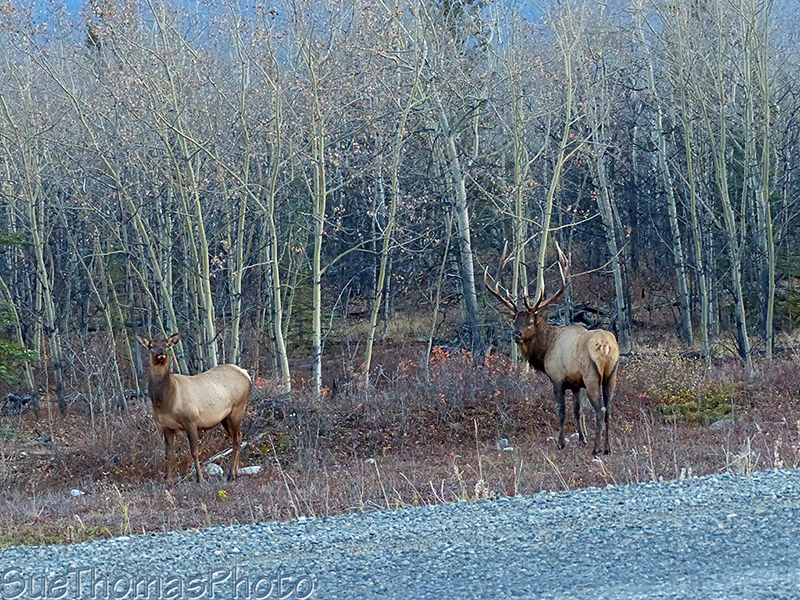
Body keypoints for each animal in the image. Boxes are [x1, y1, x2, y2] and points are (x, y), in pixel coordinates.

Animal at [136, 333, 252, 483]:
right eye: (151, 345)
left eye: (167, 345)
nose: (161, 352)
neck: (166, 401)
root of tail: (246, 374)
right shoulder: (166, 426)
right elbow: (169, 454)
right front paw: (168, 482)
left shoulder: (190, 420)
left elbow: (194, 451)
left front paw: (200, 478)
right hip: (225, 417)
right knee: (238, 435)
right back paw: (236, 472)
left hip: (238, 408)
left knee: (236, 440)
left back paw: (231, 474)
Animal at [485, 243, 620, 455]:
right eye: (515, 320)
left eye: (531, 322)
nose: (516, 334)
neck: (545, 350)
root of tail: (606, 346)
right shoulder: (575, 383)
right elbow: (577, 410)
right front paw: (582, 439)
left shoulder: (557, 378)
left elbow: (562, 411)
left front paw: (561, 443)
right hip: (611, 374)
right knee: (609, 409)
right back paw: (607, 448)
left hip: (592, 375)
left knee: (601, 410)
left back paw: (596, 449)